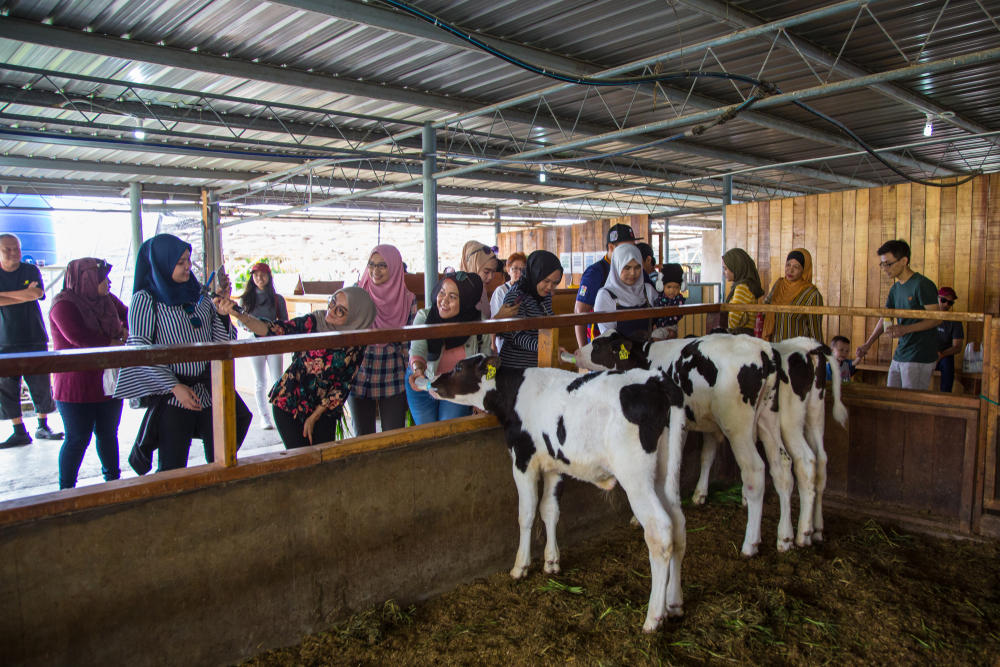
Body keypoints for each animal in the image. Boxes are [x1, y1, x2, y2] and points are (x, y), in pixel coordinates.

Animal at [430, 354, 688, 632]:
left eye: (458, 367)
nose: (432, 383)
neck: (515, 392)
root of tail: (656, 379)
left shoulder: (523, 459)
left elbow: (526, 513)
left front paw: (520, 566)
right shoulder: (554, 464)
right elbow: (550, 510)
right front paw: (551, 561)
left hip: (635, 476)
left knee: (660, 531)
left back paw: (653, 617)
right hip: (665, 472)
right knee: (678, 524)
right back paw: (674, 604)